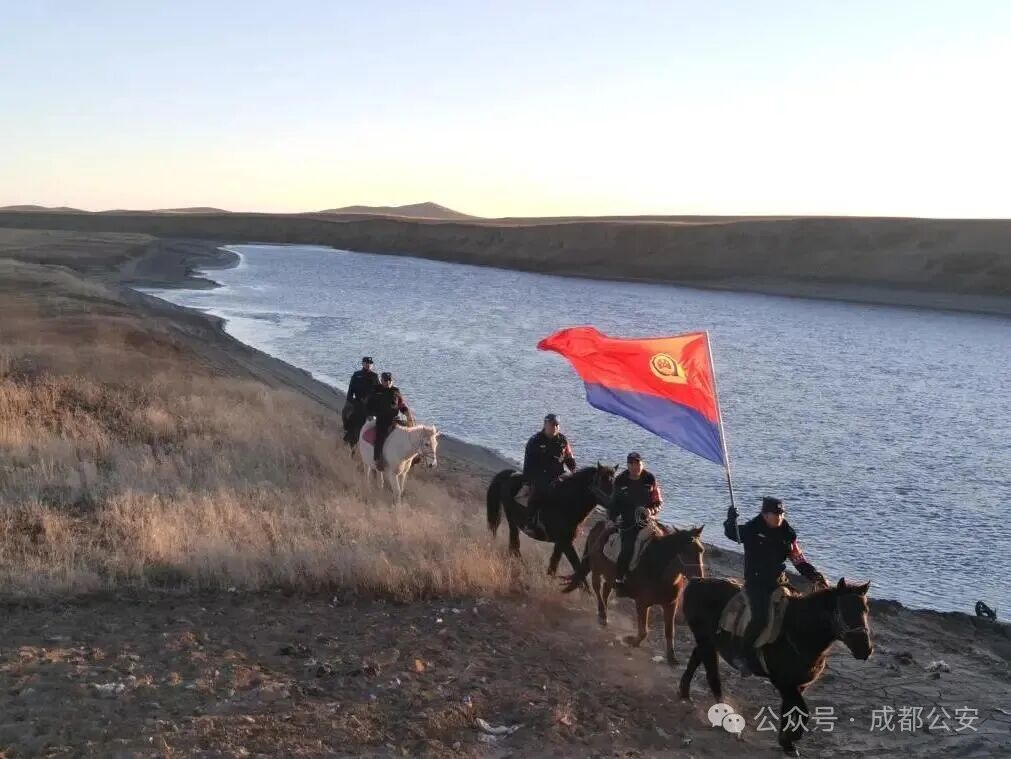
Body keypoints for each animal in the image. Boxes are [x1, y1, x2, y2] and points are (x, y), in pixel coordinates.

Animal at [486, 464, 615, 576]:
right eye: (602, 481)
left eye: (613, 482)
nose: (613, 502)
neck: (566, 504)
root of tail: (509, 474)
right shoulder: (565, 543)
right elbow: (576, 567)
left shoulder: (561, 543)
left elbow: (553, 566)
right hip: (511, 519)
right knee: (514, 544)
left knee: (513, 545)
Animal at [561, 517, 705, 666]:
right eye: (686, 552)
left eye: (701, 550)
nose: (699, 578)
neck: (657, 568)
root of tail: (600, 525)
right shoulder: (642, 603)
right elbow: (643, 632)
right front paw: (631, 641)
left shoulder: (670, 605)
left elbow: (669, 632)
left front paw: (672, 657)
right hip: (596, 568)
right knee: (597, 587)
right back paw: (602, 615)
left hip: (610, 576)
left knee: (606, 590)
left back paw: (605, 613)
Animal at [679, 577, 873, 756]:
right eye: (844, 609)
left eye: (865, 610)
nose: (865, 649)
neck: (798, 633)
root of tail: (695, 581)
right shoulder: (782, 683)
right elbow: (803, 712)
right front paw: (792, 738)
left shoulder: (797, 685)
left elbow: (790, 711)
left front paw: (786, 743)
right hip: (706, 642)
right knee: (713, 677)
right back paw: (726, 718)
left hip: (706, 643)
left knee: (695, 661)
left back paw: (685, 695)